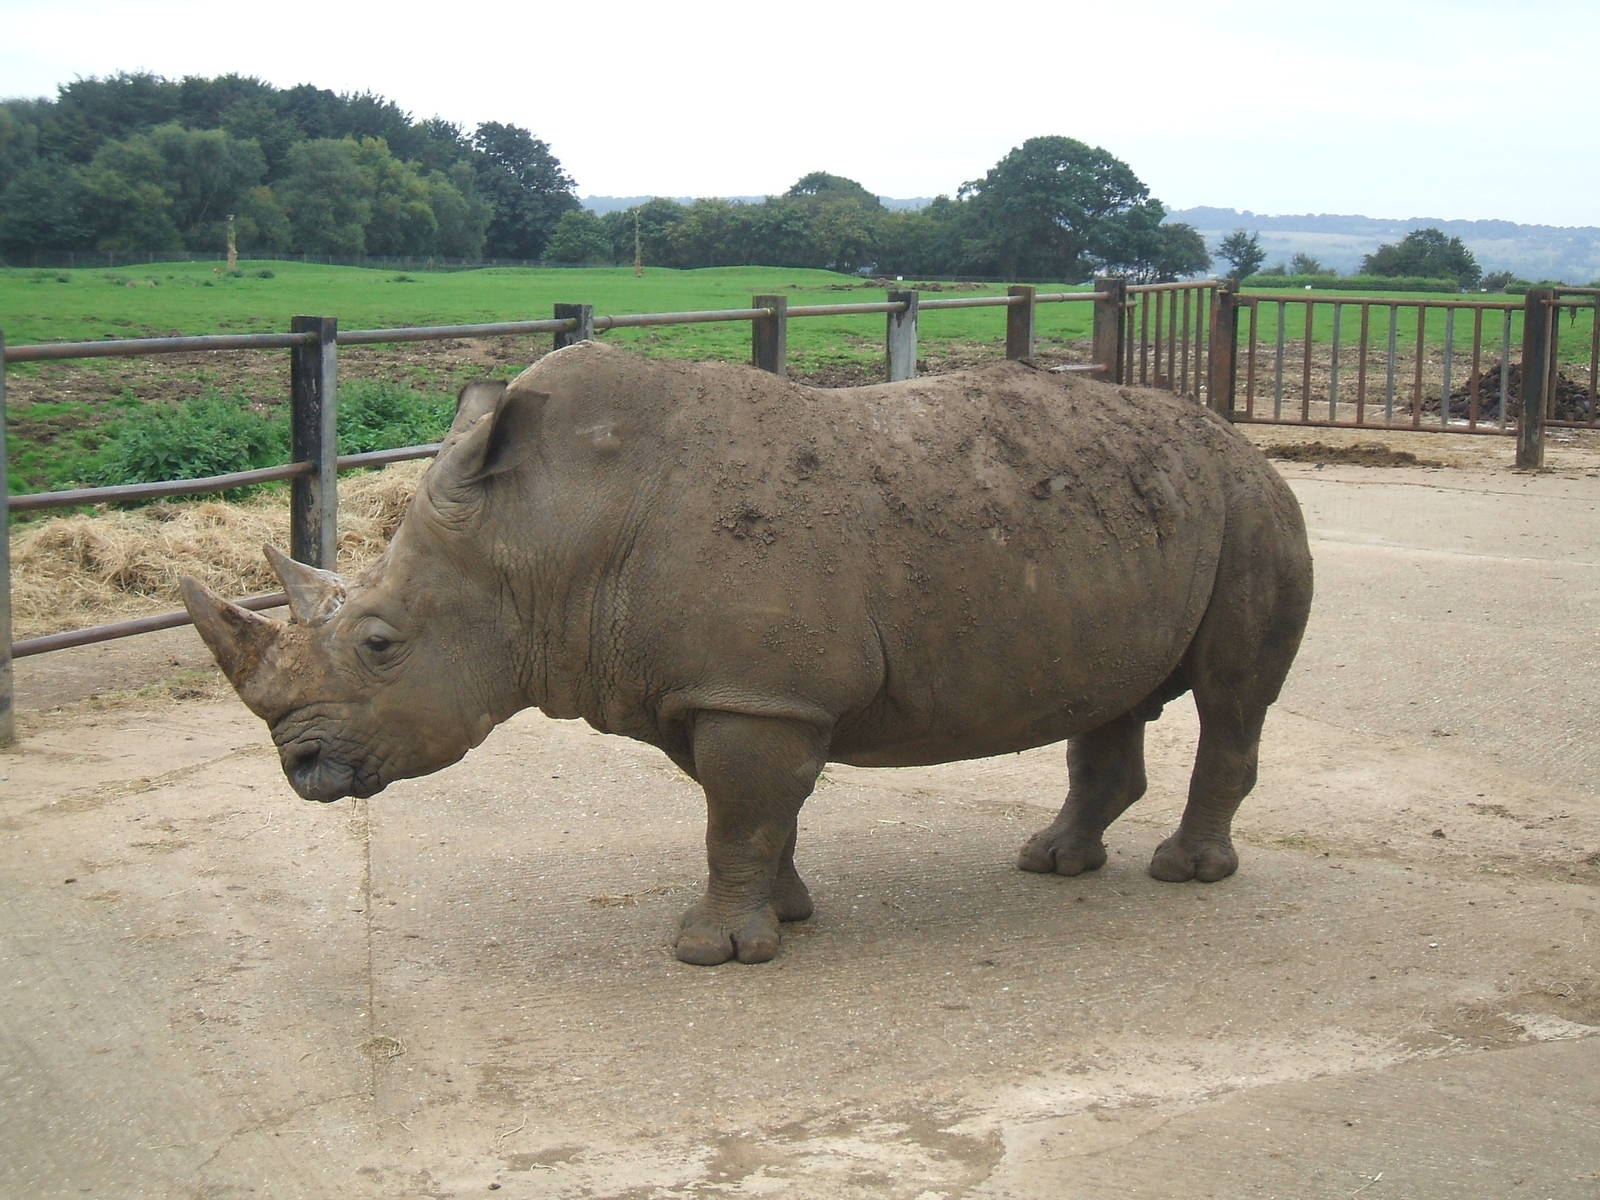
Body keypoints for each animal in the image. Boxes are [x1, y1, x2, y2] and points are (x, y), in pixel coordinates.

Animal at [182, 341, 1312, 965]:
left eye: (380, 644)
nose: (302, 767)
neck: (541, 535)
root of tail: (1237, 439)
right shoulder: (715, 688)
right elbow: (756, 813)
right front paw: (789, 916)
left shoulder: (756, 693)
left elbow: (739, 813)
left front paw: (711, 953)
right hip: (1144, 516)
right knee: (1112, 698)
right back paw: (1054, 862)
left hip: (1249, 506)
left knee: (1230, 697)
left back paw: (1185, 875)